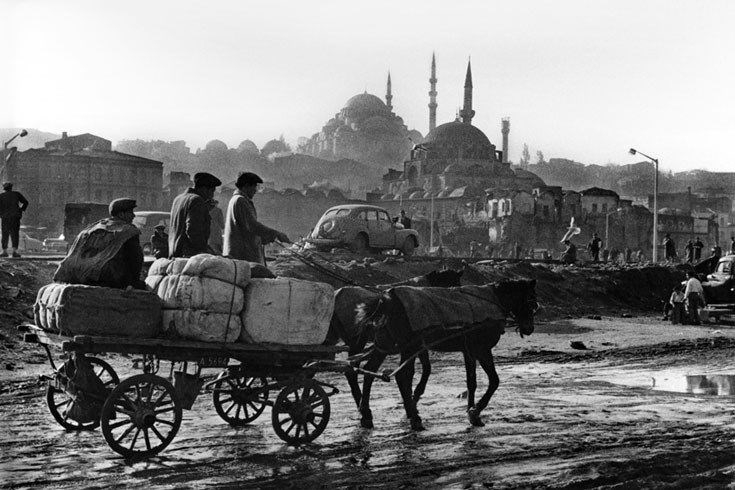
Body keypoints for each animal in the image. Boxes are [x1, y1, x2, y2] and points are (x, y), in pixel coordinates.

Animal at [330, 278, 536, 430]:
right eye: (531, 302)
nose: (529, 328)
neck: (492, 301)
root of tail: (385, 299)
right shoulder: (481, 349)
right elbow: (494, 381)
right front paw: (475, 411)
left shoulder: (468, 350)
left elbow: (471, 382)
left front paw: (471, 412)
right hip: (404, 345)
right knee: (399, 376)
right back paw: (413, 417)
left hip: (386, 344)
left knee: (370, 372)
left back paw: (367, 414)